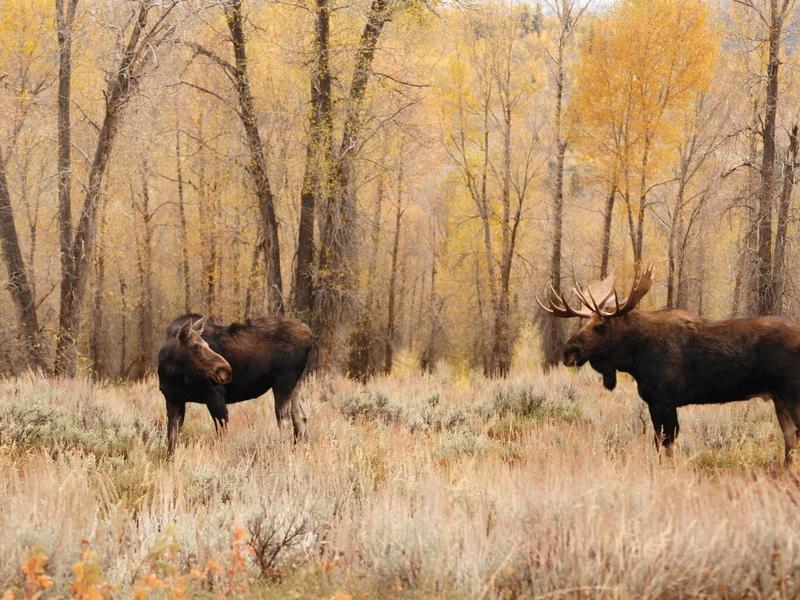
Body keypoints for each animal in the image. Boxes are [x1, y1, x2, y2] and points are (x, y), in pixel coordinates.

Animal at [156, 312, 312, 452]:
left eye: (207, 344)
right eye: (196, 347)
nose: (226, 369)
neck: (174, 375)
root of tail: (309, 337)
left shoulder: (215, 396)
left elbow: (222, 436)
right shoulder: (173, 400)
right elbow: (171, 442)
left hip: (284, 382)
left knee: (284, 421)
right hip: (295, 384)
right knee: (300, 418)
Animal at [536, 268, 800, 464]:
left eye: (600, 325)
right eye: (586, 322)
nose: (569, 351)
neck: (635, 357)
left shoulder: (663, 400)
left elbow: (666, 445)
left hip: (791, 394)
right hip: (779, 398)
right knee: (790, 439)